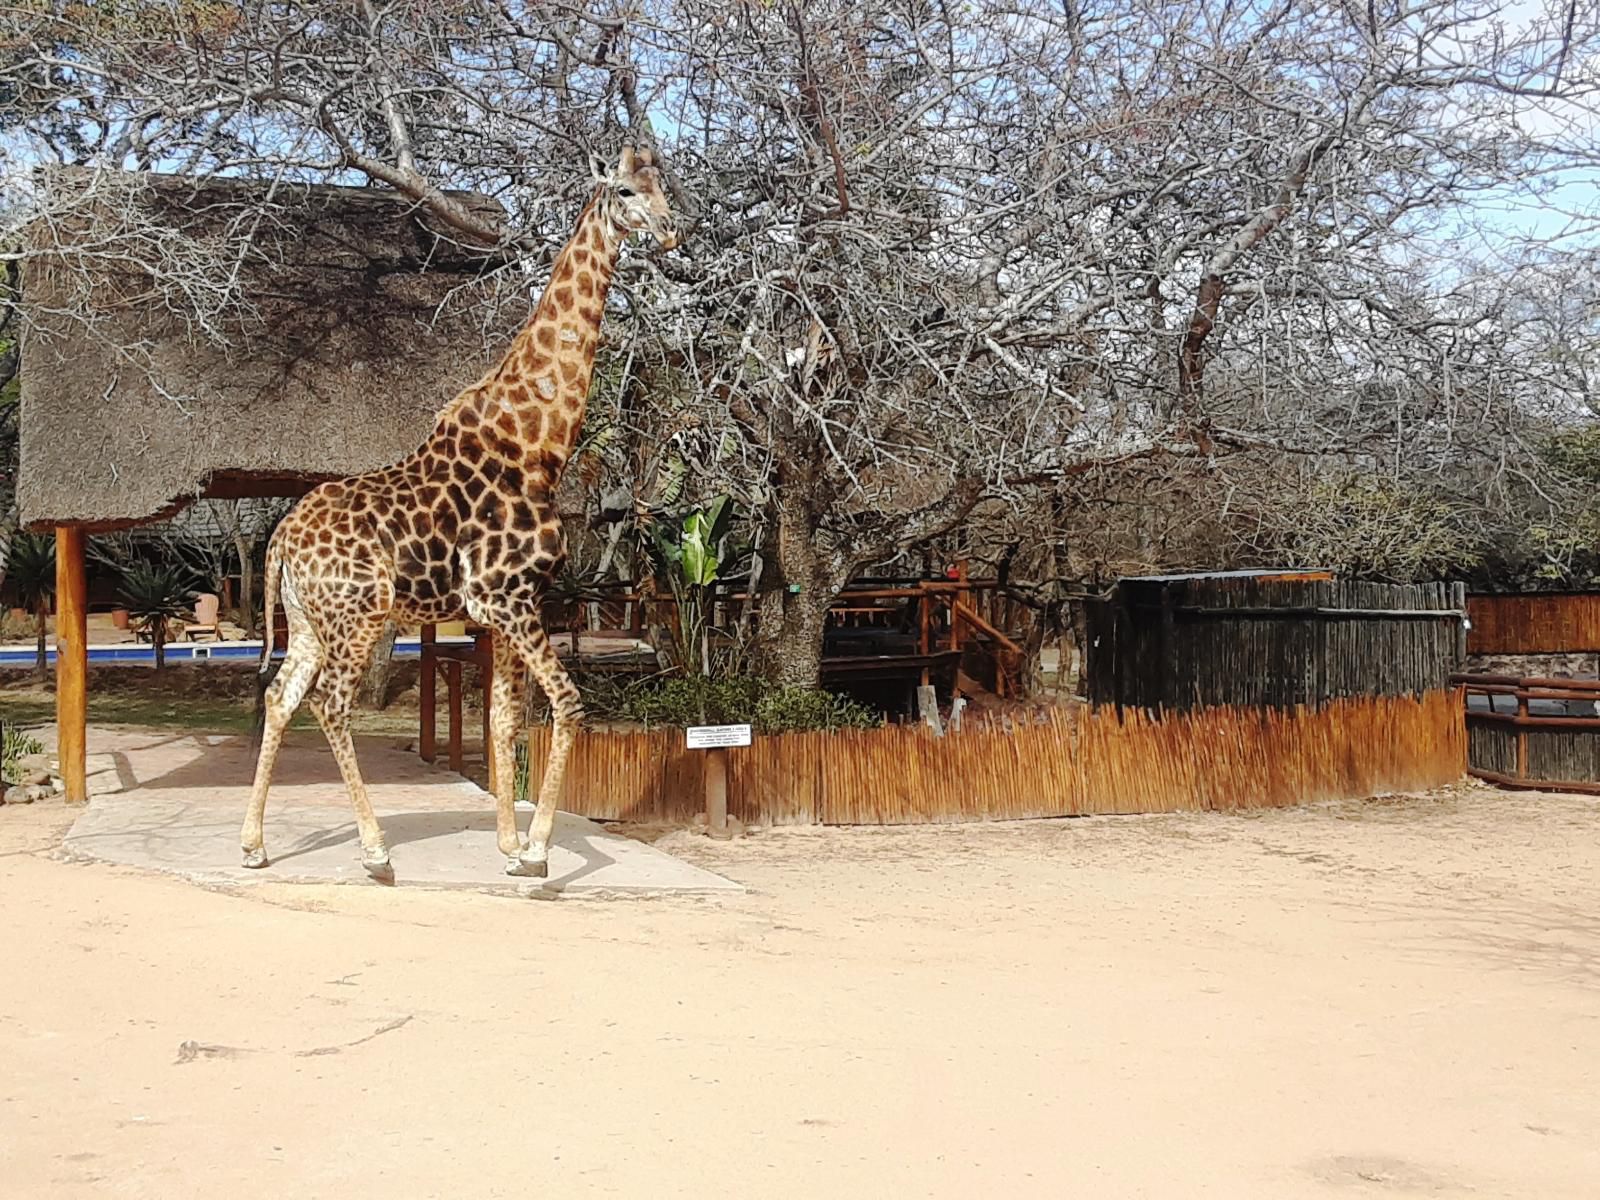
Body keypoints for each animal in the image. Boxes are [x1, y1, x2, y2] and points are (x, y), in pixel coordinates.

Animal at [241, 148, 675, 883]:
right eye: (623, 191)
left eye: (663, 187)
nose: (671, 232)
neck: (540, 440)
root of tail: (281, 541)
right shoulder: (509, 596)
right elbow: (566, 704)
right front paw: (537, 852)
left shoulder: (505, 607)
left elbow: (503, 720)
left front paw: (508, 846)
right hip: (358, 615)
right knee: (330, 704)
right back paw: (375, 851)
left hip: (307, 621)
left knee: (281, 696)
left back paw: (253, 844)